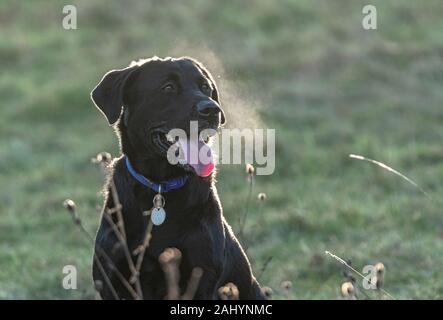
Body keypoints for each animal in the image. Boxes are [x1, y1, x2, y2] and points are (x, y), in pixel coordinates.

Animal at [89, 56, 264, 298]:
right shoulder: (113, 281)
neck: (161, 187)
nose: (212, 109)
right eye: (168, 88)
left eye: (205, 87)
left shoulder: (203, 279)